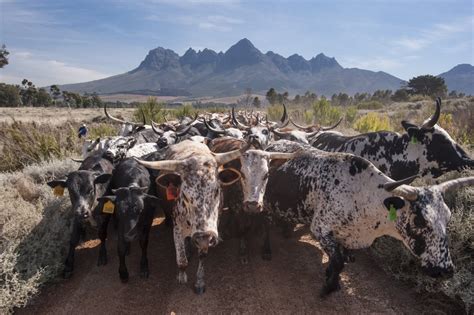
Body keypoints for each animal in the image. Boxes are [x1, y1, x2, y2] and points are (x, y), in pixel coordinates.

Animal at [135, 141, 246, 294]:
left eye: (217, 190)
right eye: (185, 194)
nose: (203, 236)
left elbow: (202, 256)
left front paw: (199, 282)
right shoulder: (177, 228)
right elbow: (181, 260)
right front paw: (181, 276)